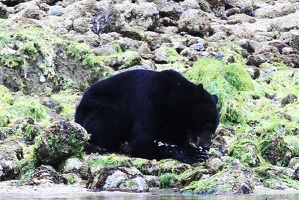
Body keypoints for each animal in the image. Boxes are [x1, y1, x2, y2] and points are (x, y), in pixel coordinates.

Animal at [75, 69, 220, 163]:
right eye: (205, 126)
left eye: (213, 129)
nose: (206, 146)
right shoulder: (149, 102)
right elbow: (142, 140)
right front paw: (193, 155)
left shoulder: (175, 121)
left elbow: (177, 138)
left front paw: (194, 150)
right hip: (101, 106)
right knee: (105, 119)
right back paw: (96, 146)